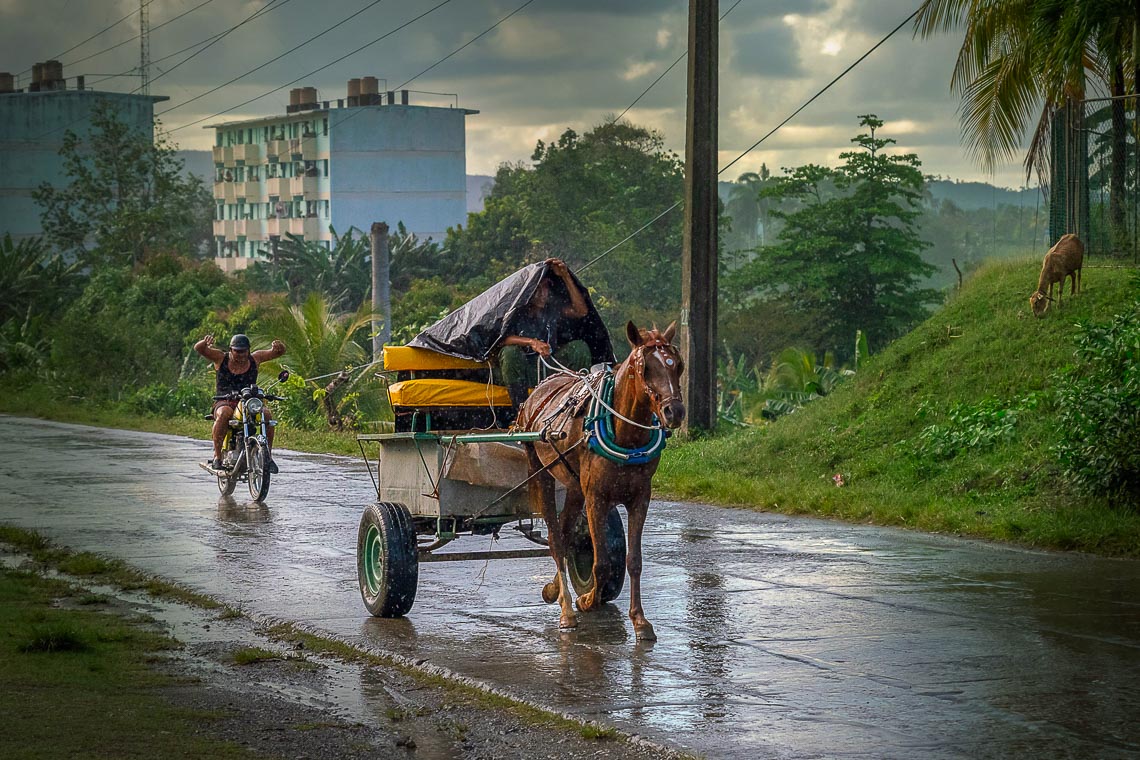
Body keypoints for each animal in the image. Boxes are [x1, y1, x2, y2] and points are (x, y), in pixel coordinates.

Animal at [517, 319, 684, 638]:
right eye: (644, 368)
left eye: (678, 365)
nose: (675, 411)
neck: (625, 435)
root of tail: (539, 390)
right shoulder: (597, 497)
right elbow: (602, 563)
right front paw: (587, 600)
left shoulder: (640, 497)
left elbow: (634, 561)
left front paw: (640, 620)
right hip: (540, 472)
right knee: (556, 540)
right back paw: (567, 610)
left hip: (573, 485)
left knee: (566, 533)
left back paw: (554, 590)